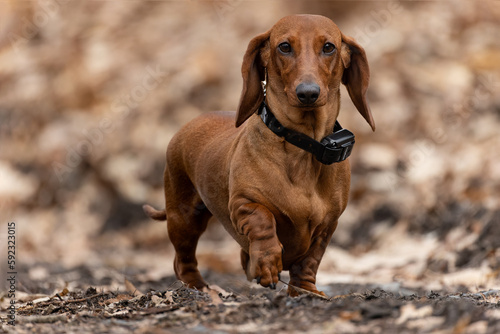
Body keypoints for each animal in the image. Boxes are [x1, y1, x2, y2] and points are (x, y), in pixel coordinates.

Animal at [143, 14, 374, 296]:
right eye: (284, 46)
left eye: (329, 47)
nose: (308, 93)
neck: (303, 146)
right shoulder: (243, 203)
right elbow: (263, 222)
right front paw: (267, 262)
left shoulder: (327, 226)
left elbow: (310, 261)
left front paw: (305, 291)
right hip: (184, 218)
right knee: (183, 260)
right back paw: (198, 288)